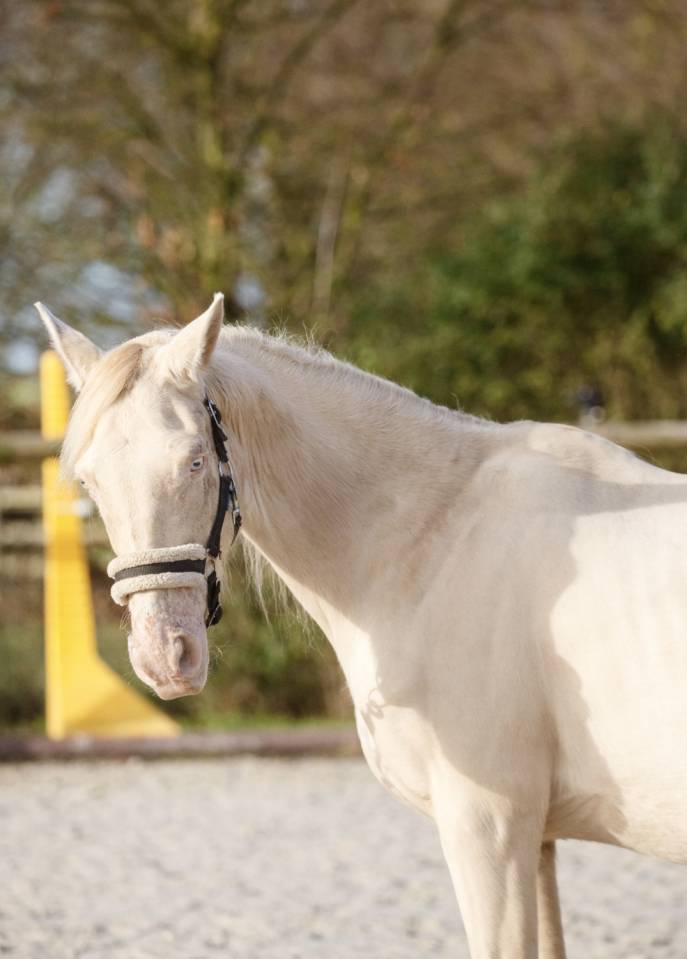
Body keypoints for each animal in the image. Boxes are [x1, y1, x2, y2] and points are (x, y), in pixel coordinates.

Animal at [36, 294, 687, 958]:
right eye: (88, 480)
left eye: (195, 460)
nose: (166, 658)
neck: (434, 540)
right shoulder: (537, 842)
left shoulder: (491, 830)